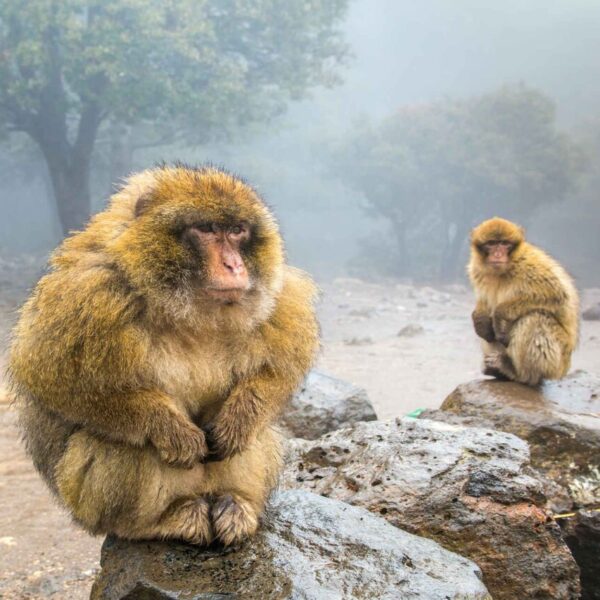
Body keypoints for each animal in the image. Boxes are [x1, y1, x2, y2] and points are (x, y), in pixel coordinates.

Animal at [8, 163, 318, 544]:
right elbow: (47, 377)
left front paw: (240, 419)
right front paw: (170, 430)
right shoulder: (87, 293)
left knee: (255, 437)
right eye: (206, 229)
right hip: (86, 504)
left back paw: (235, 505)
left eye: (236, 231)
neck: (188, 309)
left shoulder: (278, 294)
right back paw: (163, 521)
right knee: (112, 446)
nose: (234, 266)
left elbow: (281, 368)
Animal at [466, 218, 580, 386]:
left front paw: (500, 314)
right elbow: (484, 301)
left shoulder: (527, 265)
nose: (498, 254)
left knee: (536, 317)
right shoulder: (477, 270)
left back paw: (517, 372)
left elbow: (556, 294)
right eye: (491, 243)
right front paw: (479, 318)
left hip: (558, 361)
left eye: (504, 243)